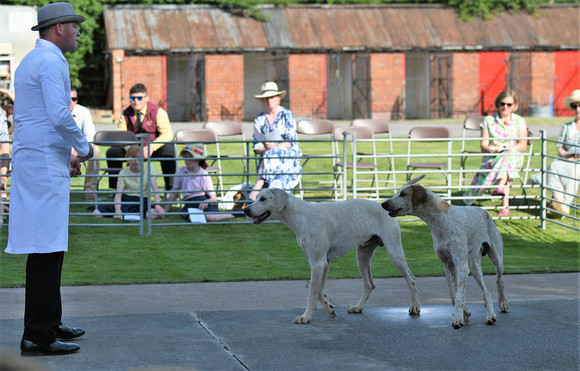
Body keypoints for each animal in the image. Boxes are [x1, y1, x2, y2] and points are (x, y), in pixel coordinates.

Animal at [242, 189, 420, 326]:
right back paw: (358, 307)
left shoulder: (318, 264)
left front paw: (306, 317)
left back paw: (415, 308)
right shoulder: (324, 263)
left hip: (394, 253)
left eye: (263, 199)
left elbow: (312, 292)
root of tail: (386, 206)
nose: (245, 210)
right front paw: (329, 310)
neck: (300, 216)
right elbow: (319, 291)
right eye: (257, 197)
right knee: (369, 284)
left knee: (411, 280)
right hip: (362, 255)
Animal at [386, 174, 508, 328]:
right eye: (396, 193)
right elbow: (454, 296)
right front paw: (464, 313)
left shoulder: (461, 267)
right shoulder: (448, 265)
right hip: (475, 267)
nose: (383, 203)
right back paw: (490, 314)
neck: (441, 221)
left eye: (403, 194)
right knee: (486, 291)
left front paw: (458, 318)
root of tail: (485, 212)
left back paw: (500, 305)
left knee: (499, 280)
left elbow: (459, 296)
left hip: (496, 259)